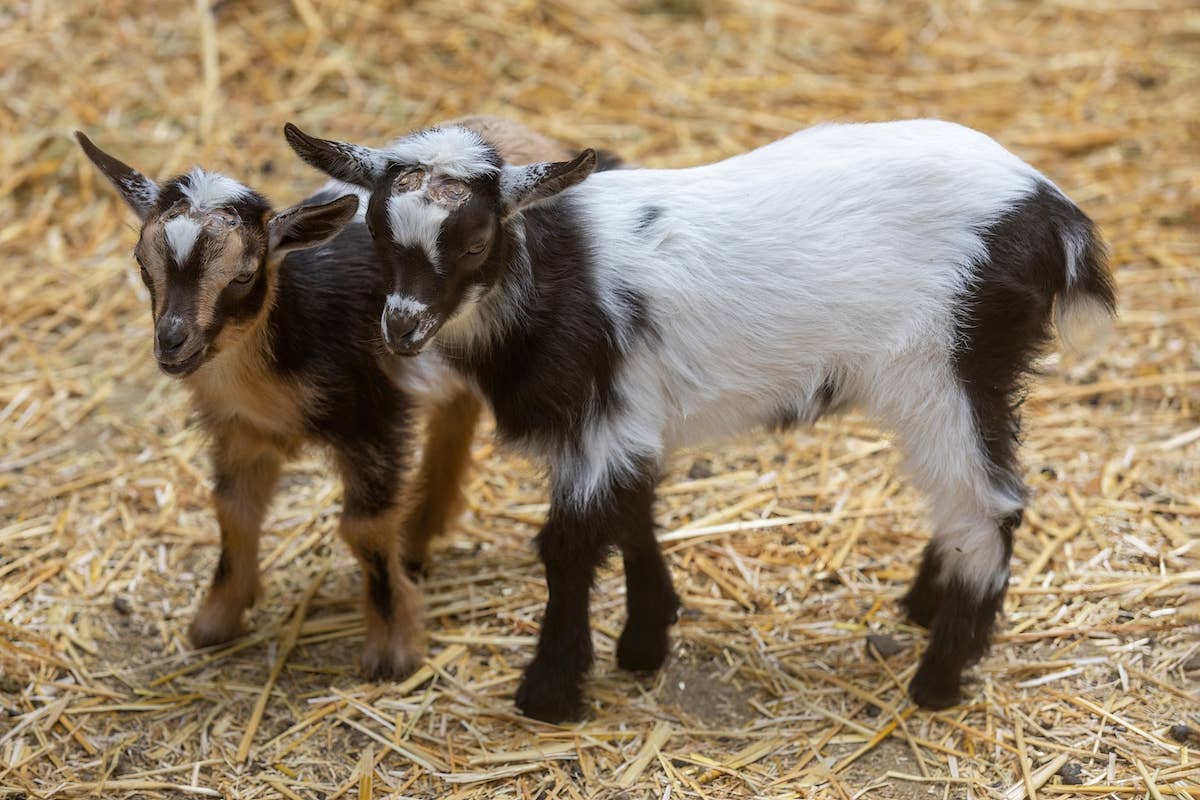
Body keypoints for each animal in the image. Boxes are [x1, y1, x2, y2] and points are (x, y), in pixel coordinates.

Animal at [76, 116, 582, 680]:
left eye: (244, 274)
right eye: (143, 264)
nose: (172, 343)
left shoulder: (373, 418)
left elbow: (364, 529)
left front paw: (392, 649)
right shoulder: (240, 429)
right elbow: (233, 511)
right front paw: (217, 619)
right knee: (458, 409)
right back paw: (420, 534)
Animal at [284, 118, 1116, 721]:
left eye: (476, 241)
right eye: (380, 234)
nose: (402, 328)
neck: (551, 277)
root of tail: (1057, 214)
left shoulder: (597, 425)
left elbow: (568, 546)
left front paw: (550, 693)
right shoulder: (627, 419)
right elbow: (633, 514)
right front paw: (646, 639)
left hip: (954, 366)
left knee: (988, 504)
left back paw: (939, 677)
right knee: (964, 498)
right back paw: (922, 608)